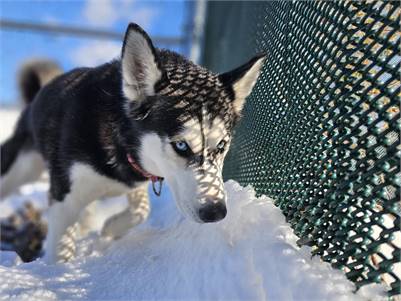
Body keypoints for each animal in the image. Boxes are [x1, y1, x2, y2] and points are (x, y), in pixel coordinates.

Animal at [0, 24, 266, 262]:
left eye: (221, 146)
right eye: (181, 145)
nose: (215, 212)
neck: (119, 141)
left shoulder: (137, 179)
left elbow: (141, 211)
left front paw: (111, 227)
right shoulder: (65, 200)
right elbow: (60, 253)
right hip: (20, 168)